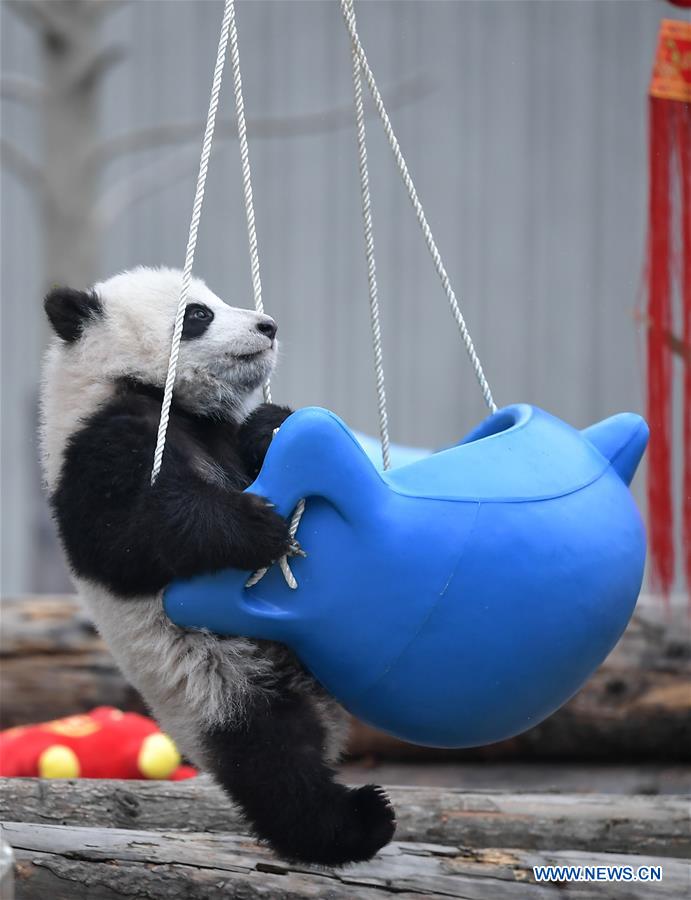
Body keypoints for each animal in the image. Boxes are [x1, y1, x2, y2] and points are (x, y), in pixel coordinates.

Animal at [39, 266, 396, 865]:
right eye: (198, 314)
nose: (268, 326)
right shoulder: (99, 443)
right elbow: (125, 537)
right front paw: (257, 527)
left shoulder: (213, 431)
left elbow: (259, 445)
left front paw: (272, 425)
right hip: (221, 687)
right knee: (277, 767)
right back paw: (357, 822)